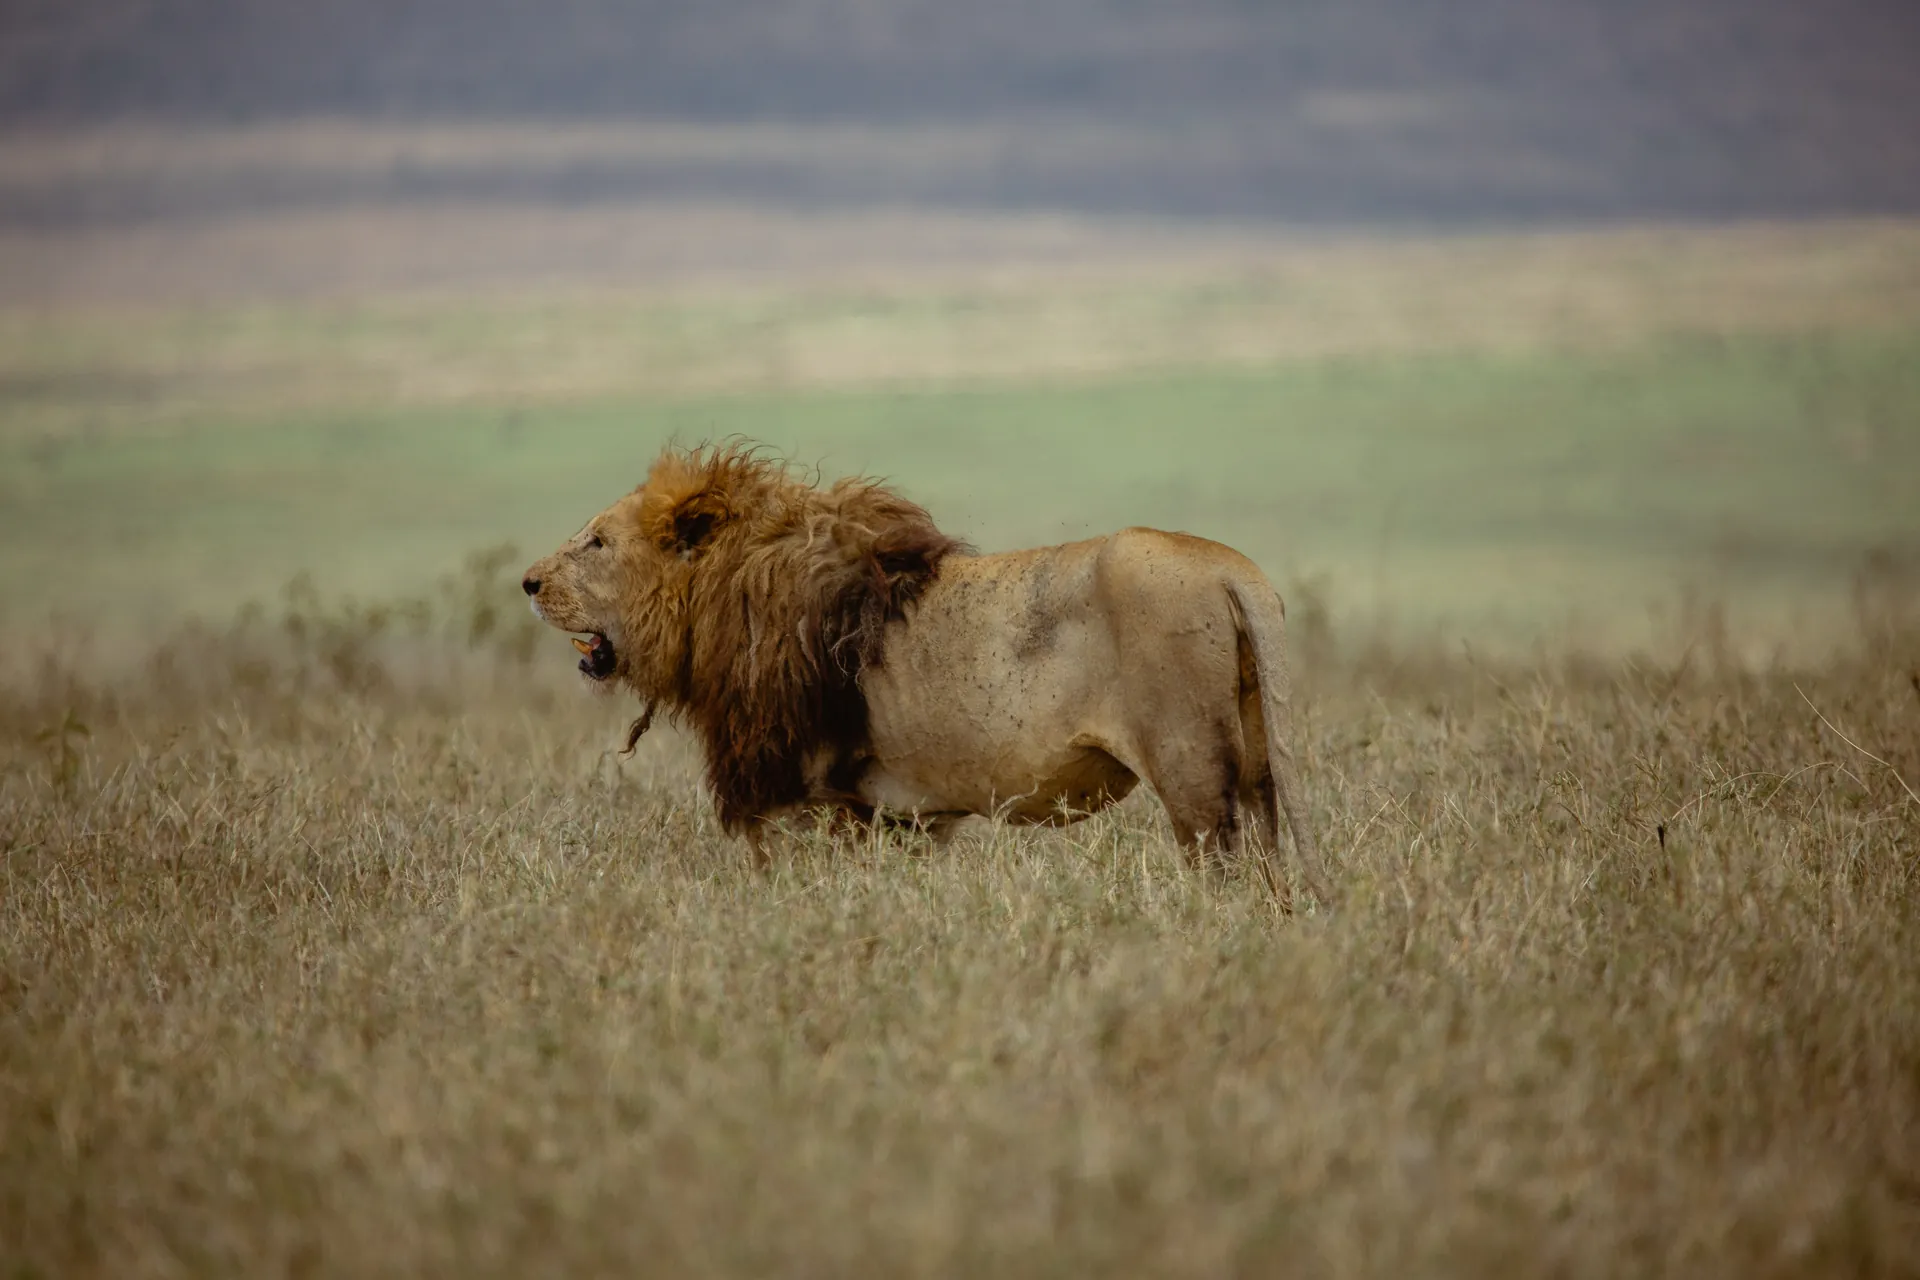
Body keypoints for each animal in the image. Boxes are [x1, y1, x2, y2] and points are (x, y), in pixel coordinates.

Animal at [522, 443, 1333, 904]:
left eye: (595, 543)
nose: (528, 582)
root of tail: (1234, 571)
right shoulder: (898, 814)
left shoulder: (803, 797)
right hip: (1255, 759)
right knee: (1268, 852)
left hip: (1189, 767)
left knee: (1221, 864)